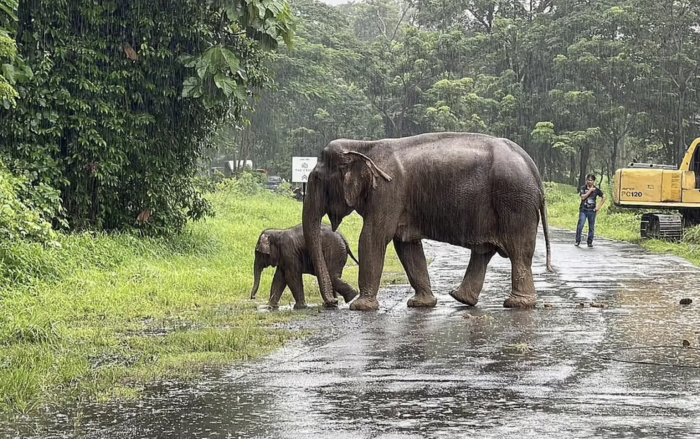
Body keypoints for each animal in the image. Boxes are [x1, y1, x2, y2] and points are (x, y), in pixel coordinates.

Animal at [302, 132, 553, 311]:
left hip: (514, 202)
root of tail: (534, 170)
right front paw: (421, 304)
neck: (363, 146)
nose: (332, 303)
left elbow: (373, 238)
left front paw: (361, 307)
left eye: (317, 179)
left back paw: (517, 304)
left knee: (519, 251)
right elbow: (407, 246)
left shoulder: (388, 192)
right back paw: (461, 298)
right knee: (485, 251)